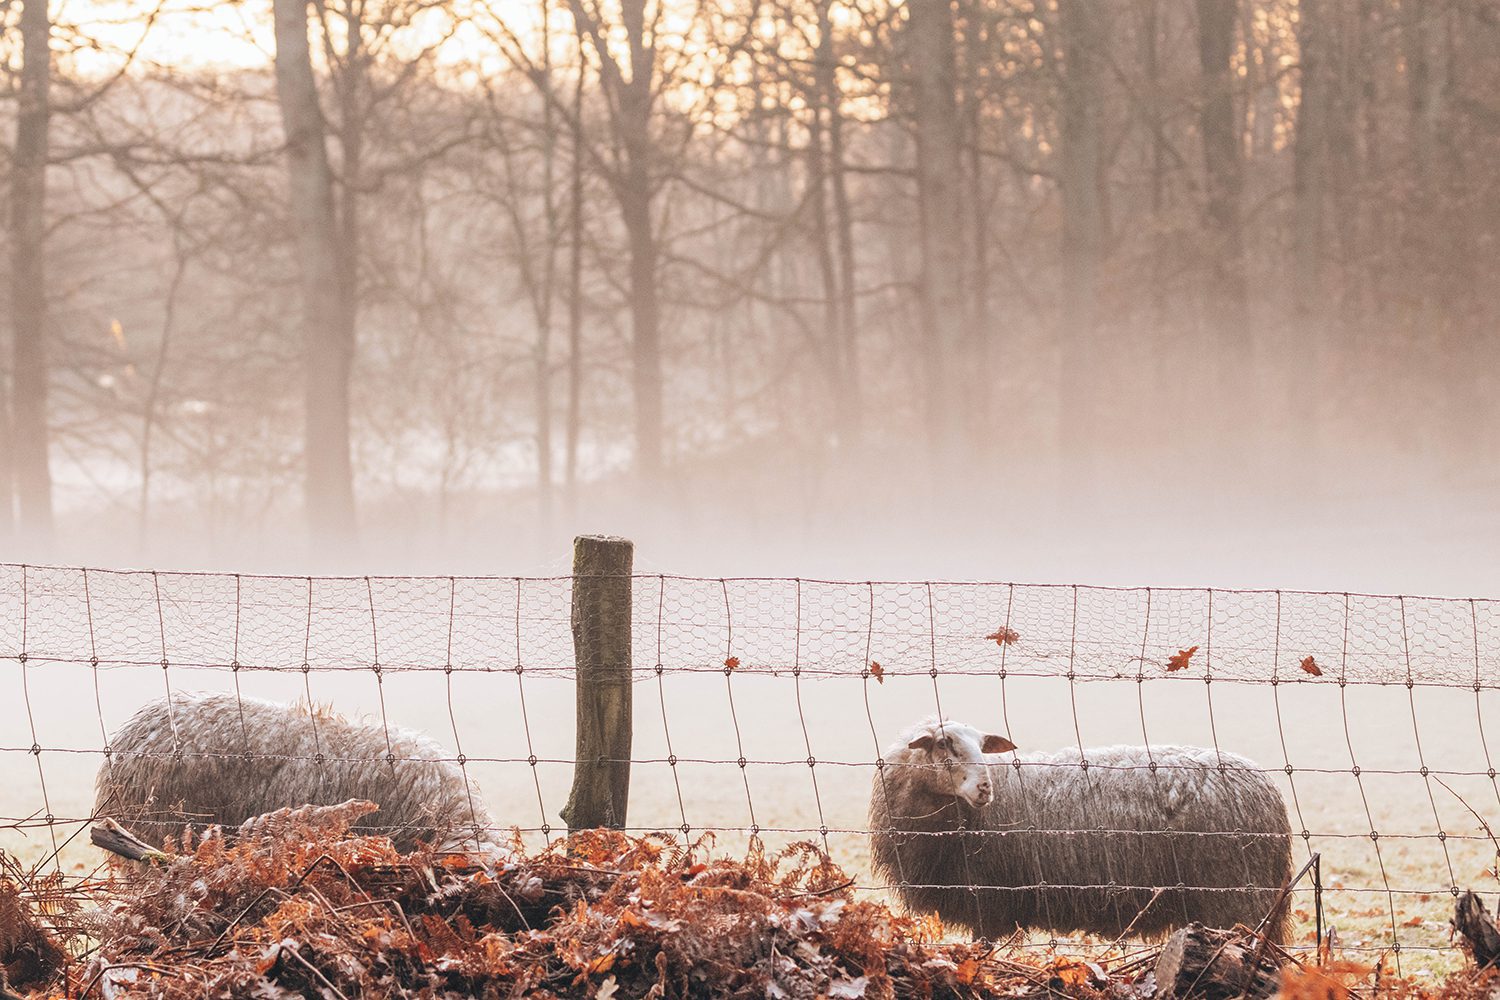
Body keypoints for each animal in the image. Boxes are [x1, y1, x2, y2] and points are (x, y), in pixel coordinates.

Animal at [876, 716, 1296, 941]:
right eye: (943, 743)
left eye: (983, 745)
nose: (984, 788)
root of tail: (1266, 790)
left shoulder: (990, 901)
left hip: (1235, 898)